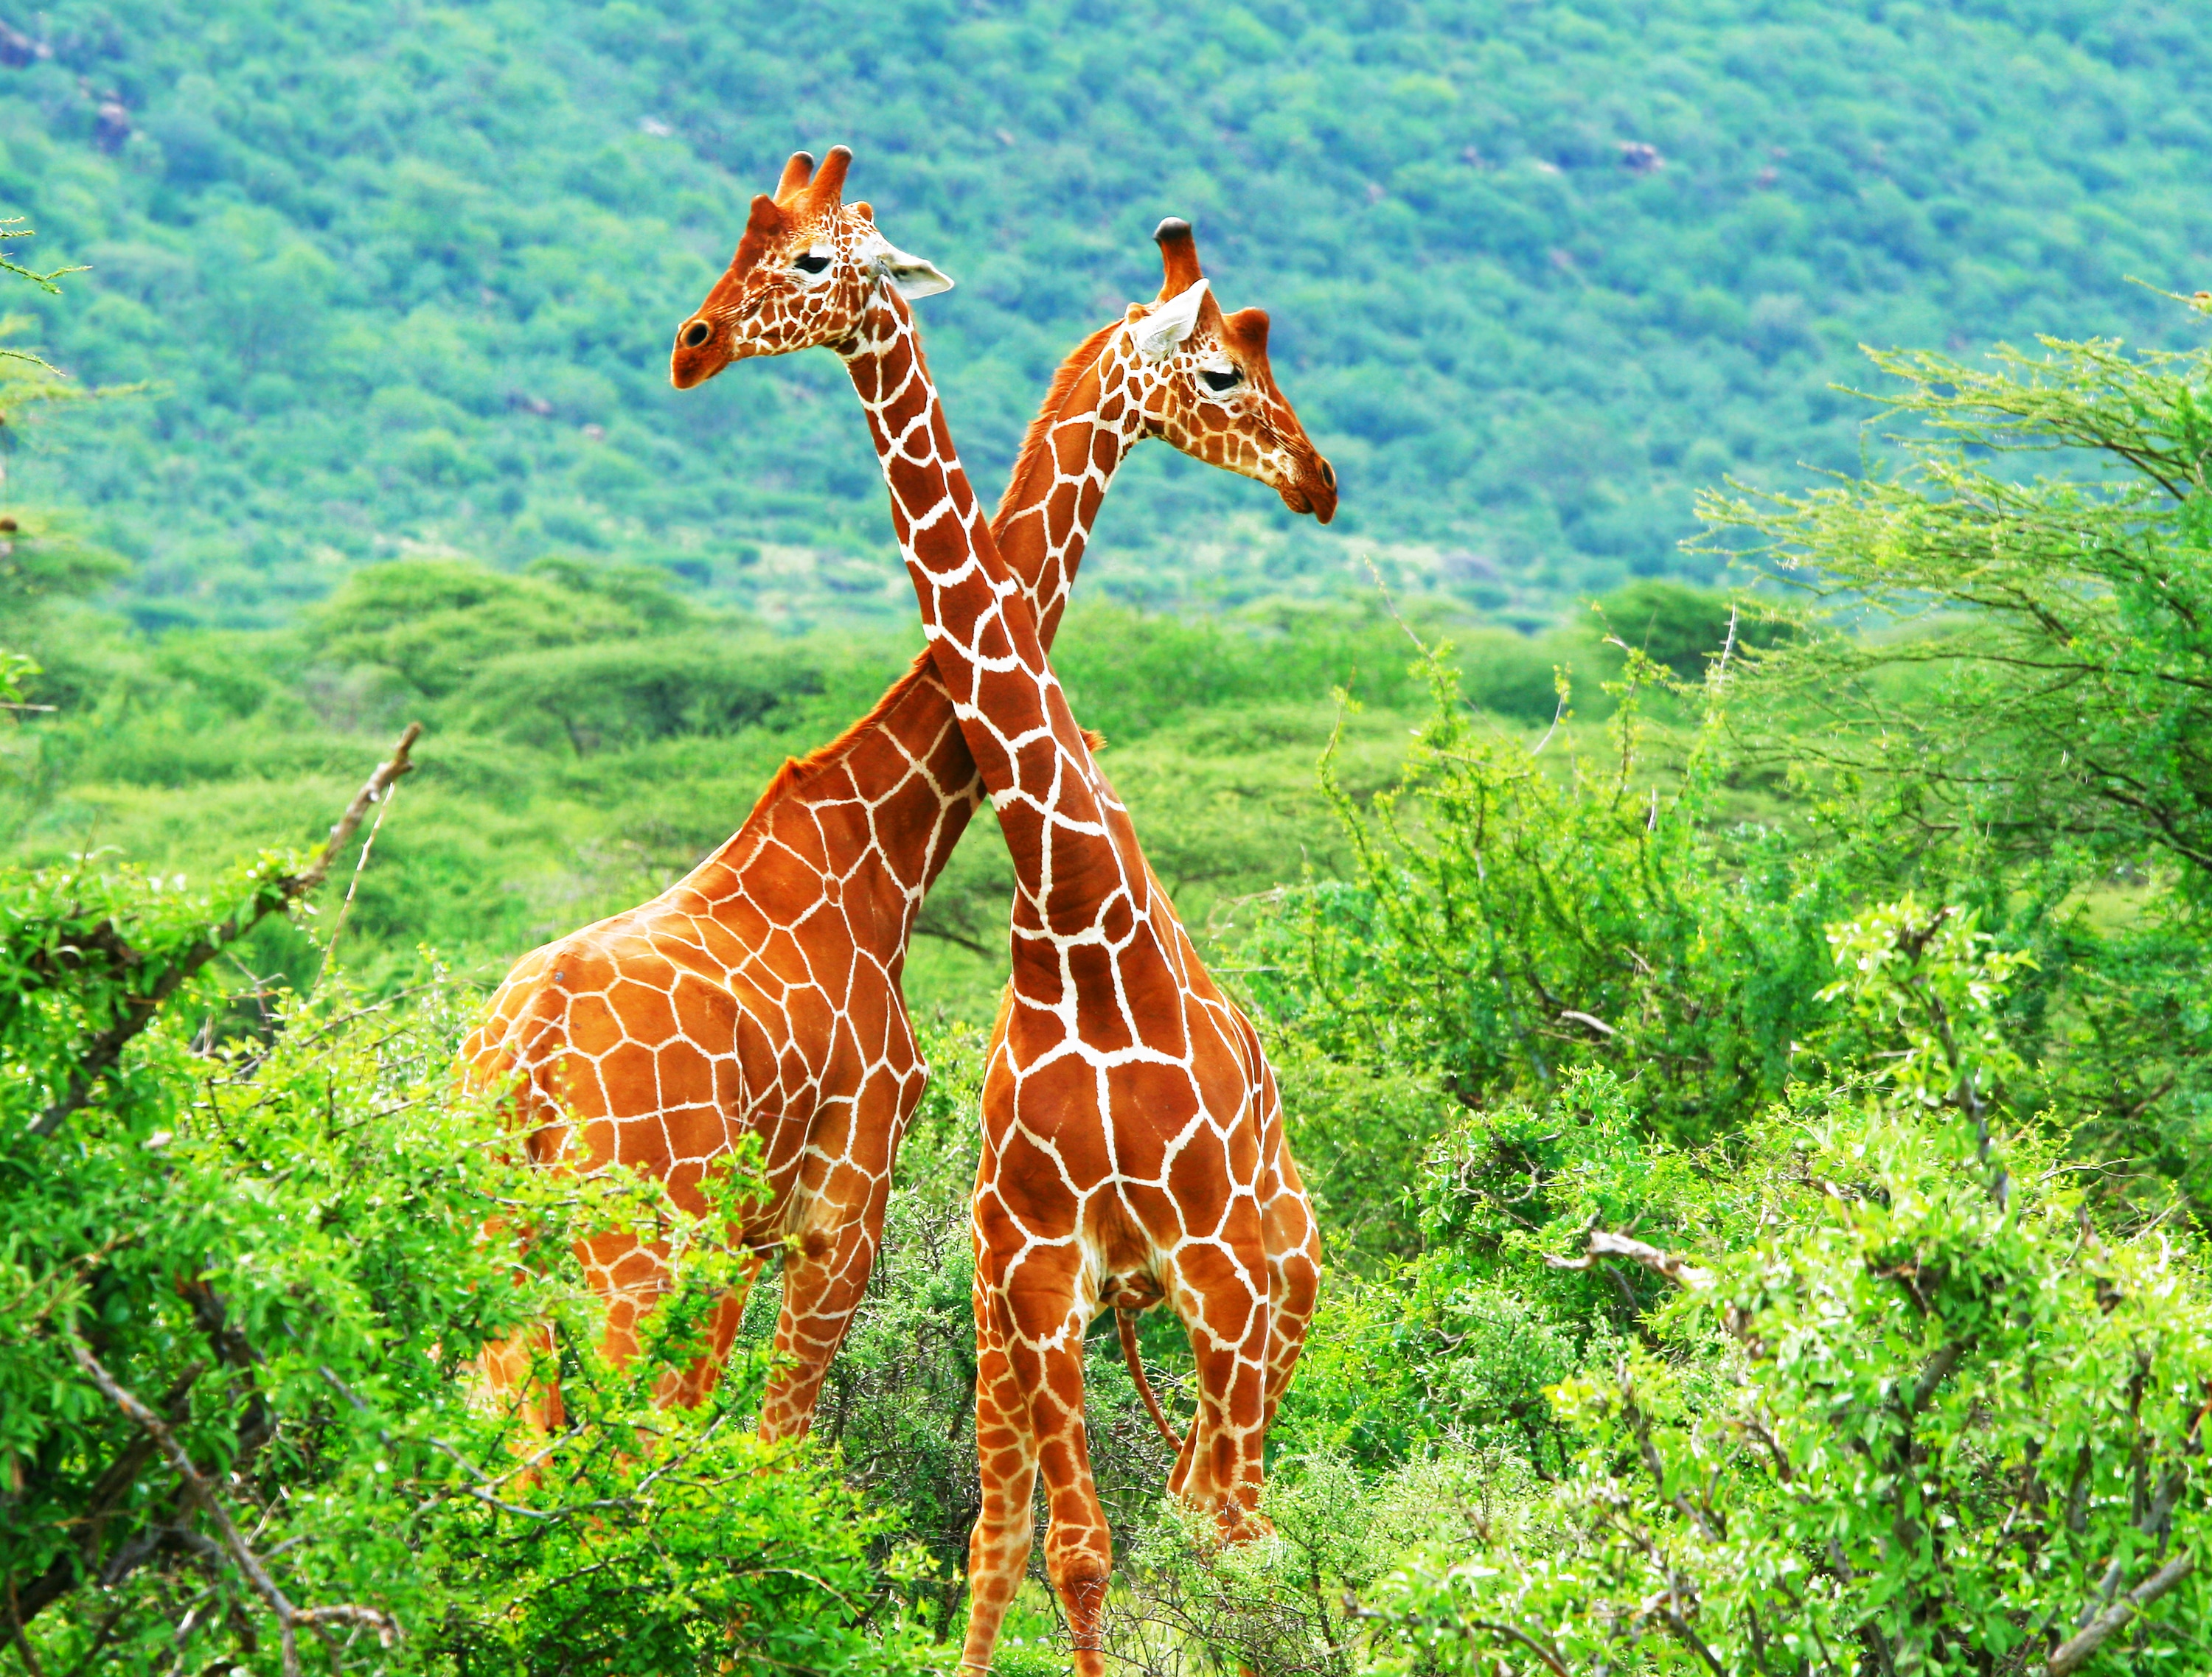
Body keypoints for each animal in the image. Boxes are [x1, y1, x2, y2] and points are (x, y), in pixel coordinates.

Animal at [466, 154, 1334, 1449]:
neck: (884, 843)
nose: (1316, 478)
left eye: (801, 252)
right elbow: (773, 1449)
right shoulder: (843, 1202)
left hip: (503, 1233)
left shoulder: (759, 1227)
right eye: (1226, 367)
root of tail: (524, 1052)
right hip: (636, 1237)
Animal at [669, 148, 1328, 1677]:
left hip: (1277, 1286)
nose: (1320, 481)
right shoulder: (1033, 1264)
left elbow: (1192, 1542)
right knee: (1061, 1521)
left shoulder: (1209, 1266)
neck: (1078, 918)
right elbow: (1064, 1550)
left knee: (1242, 1516)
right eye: (1224, 370)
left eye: (811, 259)